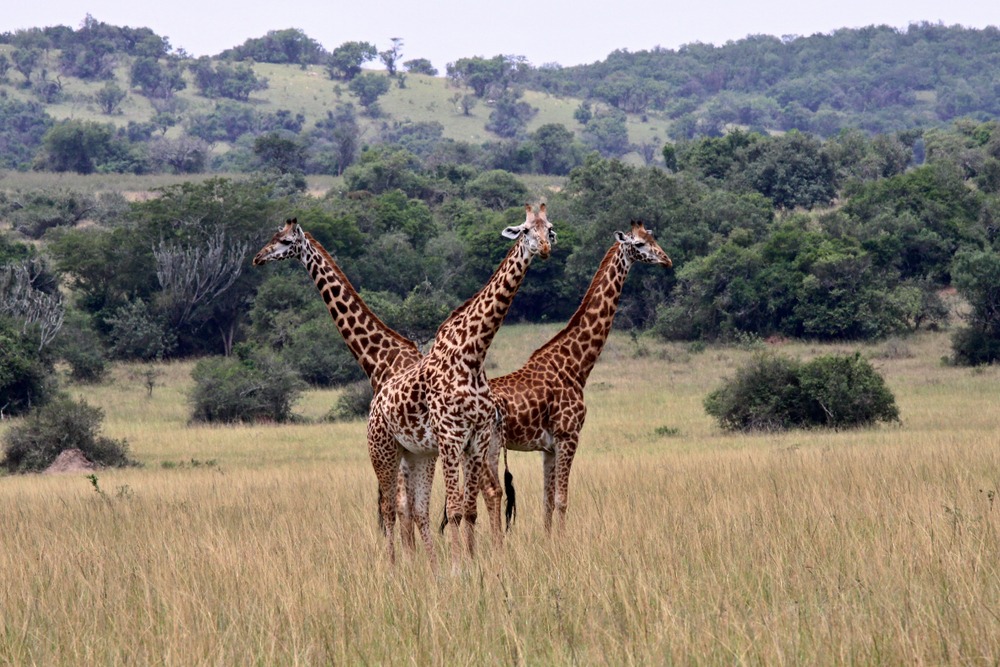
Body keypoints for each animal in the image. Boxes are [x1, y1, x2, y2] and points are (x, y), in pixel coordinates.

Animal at [368, 204, 554, 569]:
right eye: (525, 230)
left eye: (549, 228)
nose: (544, 248)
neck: (473, 354)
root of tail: (375, 401)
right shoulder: (452, 438)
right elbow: (453, 509)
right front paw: (457, 567)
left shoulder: (477, 438)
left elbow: (469, 509)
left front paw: (472, 561)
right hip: (383, 450)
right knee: (389, 508)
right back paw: (393, 567)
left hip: (417, 454)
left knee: (418, 509)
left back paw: (428, 567)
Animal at [488, 221, 671, 533]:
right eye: (638, 244)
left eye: (653, 238)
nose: (667, 260)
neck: (576, 365)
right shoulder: (568, 436)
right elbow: (562, 500)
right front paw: (562, 541)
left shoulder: (548, 447)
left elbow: (547, 502)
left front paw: (549, 540)